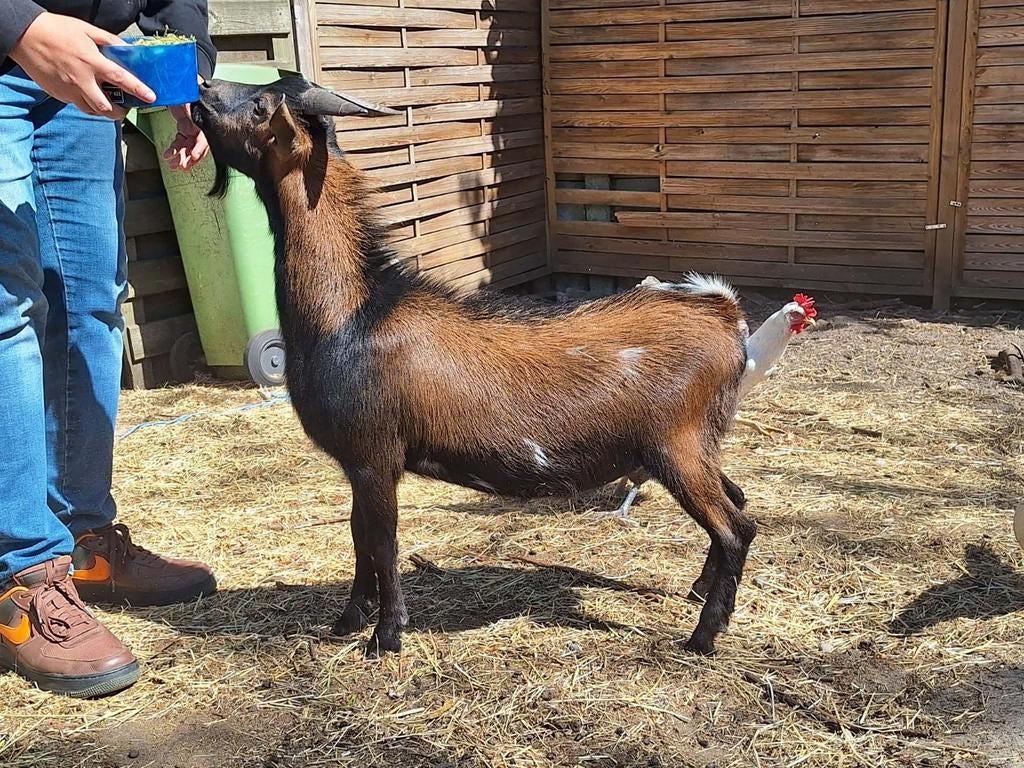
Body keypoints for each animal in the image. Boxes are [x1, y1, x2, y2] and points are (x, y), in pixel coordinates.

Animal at [192, 76, 758, 657]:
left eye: (261, 106)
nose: (203, 89)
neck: (353, 312)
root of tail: (724, 315)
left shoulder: (375, 454)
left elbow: (381, 542)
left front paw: (386, 636)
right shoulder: (356, 461)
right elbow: (357, 538)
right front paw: (347, 621)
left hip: (675, 444)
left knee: (733, 527)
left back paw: (704, 635)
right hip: (697, 443)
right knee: (739, 506)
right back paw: (698, 592)